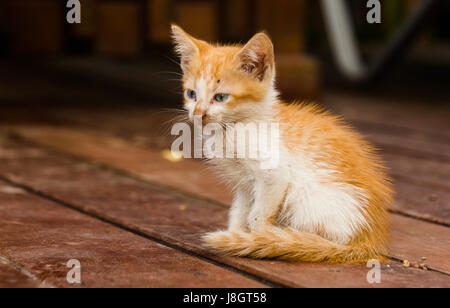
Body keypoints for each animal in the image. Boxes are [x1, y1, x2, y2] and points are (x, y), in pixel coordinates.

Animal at [171, 25, 392, 264]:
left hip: (306, 197)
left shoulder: (275, 174)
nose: (198, 114)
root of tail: (369, 241)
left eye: (220, 97)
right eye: (191, 94)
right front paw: (237, 233)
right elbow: (239, 210)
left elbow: (257, 216)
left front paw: (258, 239)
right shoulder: (244, 184)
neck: (234, 128)